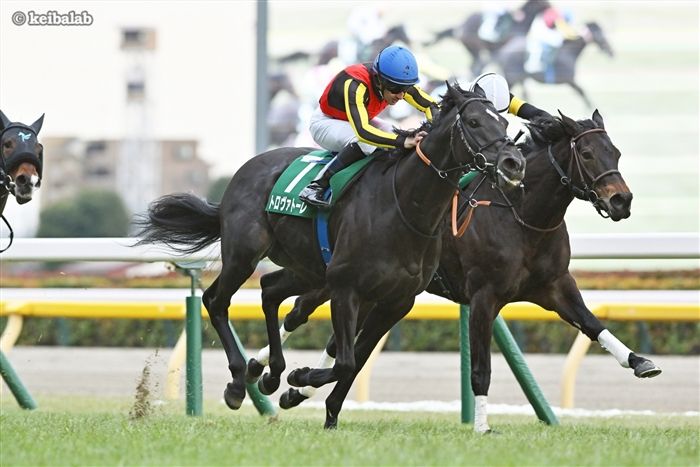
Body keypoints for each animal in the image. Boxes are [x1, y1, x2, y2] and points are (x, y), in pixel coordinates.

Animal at [135, 83, 526, 429]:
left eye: (505, 123)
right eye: (473, 122)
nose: (513, 163)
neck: (404, 207)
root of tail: (244, 172)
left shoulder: (396, 301)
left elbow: (355, 359)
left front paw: (313, 398)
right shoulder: (346, 287)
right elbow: (346, 361)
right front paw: (300, 378)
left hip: (307, 268)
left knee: (270, 290)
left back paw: (268, 373)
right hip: (244, 254)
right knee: (216, 300)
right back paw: (237, 381)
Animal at [246, 111, 661, 433]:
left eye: (615, 152)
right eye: (587, 153)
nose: (620, 200)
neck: (521, 214)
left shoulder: (555, 285)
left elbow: (593, 324)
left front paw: (639, 362)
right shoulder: (484, 296)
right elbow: (481, 368)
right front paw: (481, 425)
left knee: (332, 339)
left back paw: (293, 387)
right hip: (337, 276)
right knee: (300, 313)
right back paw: (267, 368)